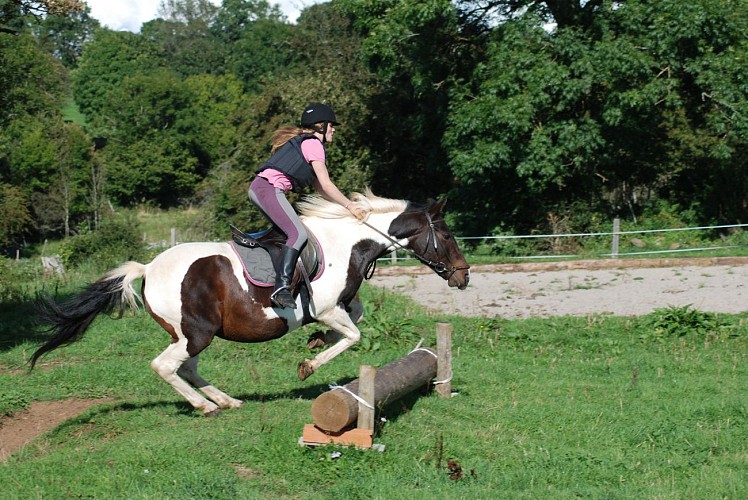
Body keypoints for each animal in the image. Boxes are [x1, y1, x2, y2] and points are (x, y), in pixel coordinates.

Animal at [32, 189, 470, 416]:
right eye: (447, 235)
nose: (464, 276)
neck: (347, 243)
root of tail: (149, 267)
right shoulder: (329, 307)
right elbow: (354, 335)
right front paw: (309, 364)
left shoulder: (341, 306)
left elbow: (354, 320)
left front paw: (315, 342)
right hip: (196, 333)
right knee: (166, 366)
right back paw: (206, 406)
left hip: (191, 334)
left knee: (186, 367)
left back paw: (227, 399)